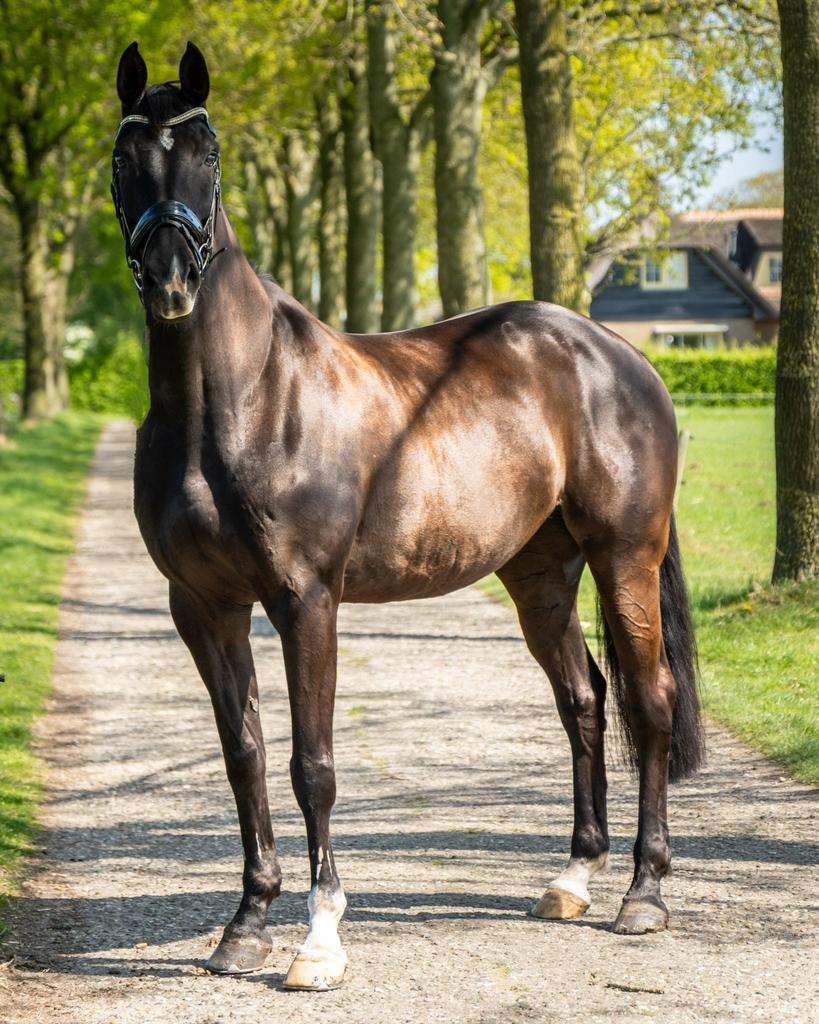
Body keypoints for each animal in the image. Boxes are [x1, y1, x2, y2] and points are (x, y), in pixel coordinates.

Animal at [112, 41, 704, 991]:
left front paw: (319, 940)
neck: (238, 400)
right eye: (126, 154)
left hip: (625, 558)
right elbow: (244, 756)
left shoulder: (306, 601)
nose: (171, 279)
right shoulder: (201, 606)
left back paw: (643, 895)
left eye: (207, 151)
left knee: (649, 700)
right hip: (539, 573)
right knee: (582, 698)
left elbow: (310, 765)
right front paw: (246, 924)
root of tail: (617, 357)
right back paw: (572, 878)